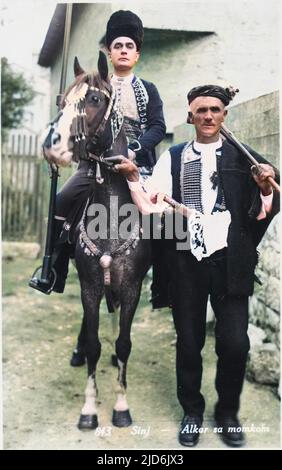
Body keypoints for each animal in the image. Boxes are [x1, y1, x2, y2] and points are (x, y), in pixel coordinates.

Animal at [42, 51, 151, 430]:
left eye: (93, 99)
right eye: (61, 101)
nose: (52, 145)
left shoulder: (132, 285)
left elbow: (123, 344)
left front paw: (121, 406)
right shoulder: (89, 282)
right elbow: (93, 344)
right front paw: (89, 410)